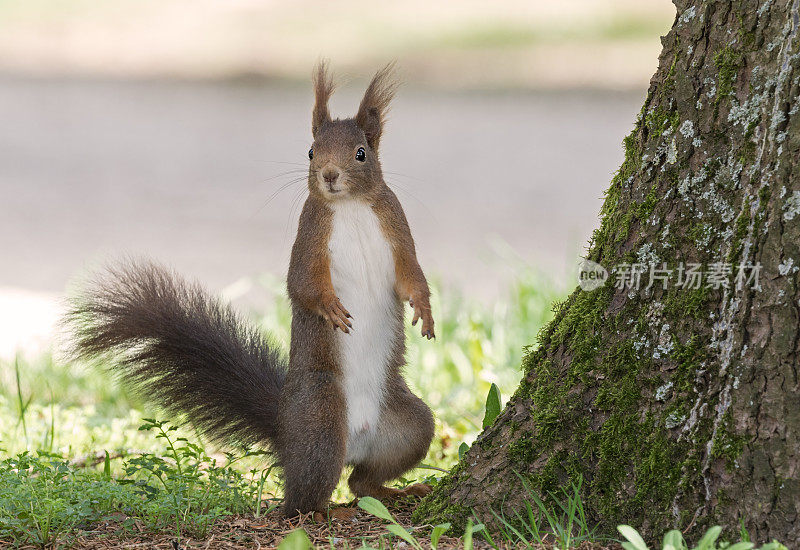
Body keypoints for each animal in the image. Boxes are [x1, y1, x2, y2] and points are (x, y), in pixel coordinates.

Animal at [66, 62, 438, 520]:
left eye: (360, 153)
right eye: (311, 152)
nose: (329, 176)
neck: (349, 206)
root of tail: (287, 430)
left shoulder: (396, 224)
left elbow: (411, 277)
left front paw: (425, 310)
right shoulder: (309, 236)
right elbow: (301, 284)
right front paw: (330, 307)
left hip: (409, 426)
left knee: (362, 480)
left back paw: (396, 492)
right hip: (320, 418)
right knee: (300, 499)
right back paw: (327, 511)